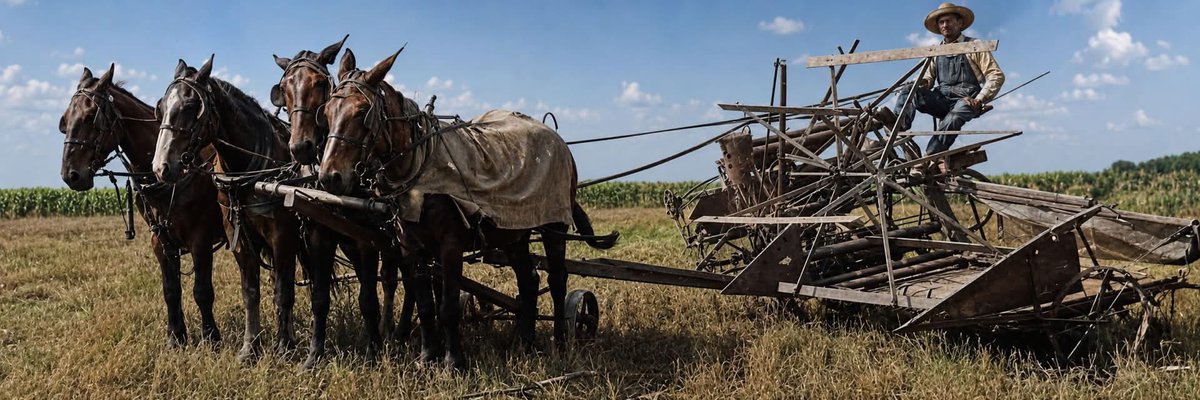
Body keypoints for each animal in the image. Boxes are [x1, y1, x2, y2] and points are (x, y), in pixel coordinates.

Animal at [59, 64, 226, 348]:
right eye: (65, 119)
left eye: (91, 116)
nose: (70, 175)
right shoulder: (159, 239)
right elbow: (171, 290)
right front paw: (175, 337)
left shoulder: (201, 238)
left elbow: (202, 291)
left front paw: (211, 338)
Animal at [151, 56, 318, 365]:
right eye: (160, 108)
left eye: (190, 106)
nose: (161, 167)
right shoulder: (238, 237)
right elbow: (251, 292)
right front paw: (250, 348)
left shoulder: (283, 236)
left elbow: (284, 291)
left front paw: (284, 348)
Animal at [317, 49, 615, 370]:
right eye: (327, 112)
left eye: (362, 112)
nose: (330, 177)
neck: (422, 167)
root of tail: (559, 142)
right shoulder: (411, 247)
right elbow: (425, 304)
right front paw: (427, 356)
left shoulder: (451, 245)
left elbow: (448, 306)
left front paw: (453, 361)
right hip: (514, 231)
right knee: (528, 279)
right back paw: (525, 342)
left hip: (553, 224)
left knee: (557, 279)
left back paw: (560, 341)